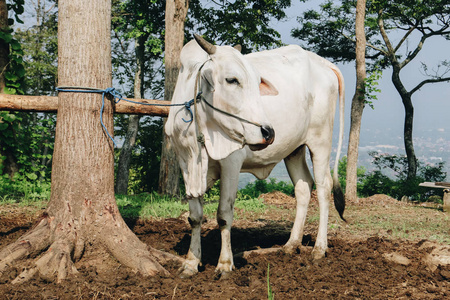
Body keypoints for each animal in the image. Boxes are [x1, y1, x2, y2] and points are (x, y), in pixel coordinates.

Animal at [165, 35, 344, 278]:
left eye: (257, 81)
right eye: (232, 80)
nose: (268, 132)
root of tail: (323, 63)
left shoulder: (231, 162)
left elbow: (223, 214)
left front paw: (224, 264)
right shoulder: (186, 163)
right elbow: (194, 216)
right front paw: (191, 263)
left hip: (321, 142)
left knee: (324, 188)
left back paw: (319, 248)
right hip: (294, 150)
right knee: (303, 187)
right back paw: (291, 244)